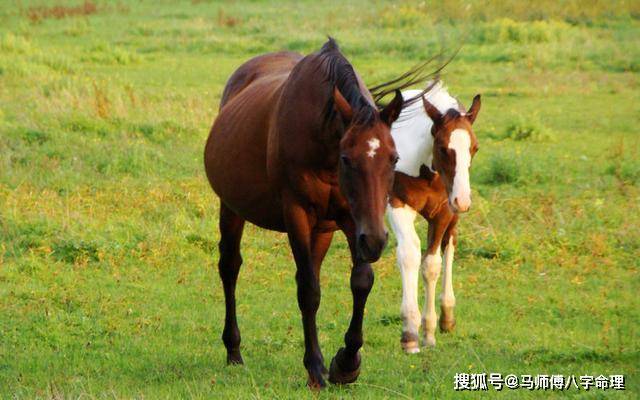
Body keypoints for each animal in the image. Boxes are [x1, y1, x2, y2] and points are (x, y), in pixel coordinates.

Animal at [205, 38, 402, 388]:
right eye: (347, 158)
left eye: (393, 159)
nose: (377, 241)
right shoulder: (296, 213)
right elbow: (309, 291)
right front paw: (316, 367)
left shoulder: (352, 219)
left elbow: (361, 281)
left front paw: (346, 363)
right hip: (231, 208)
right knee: (230, 267)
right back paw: (234, 351)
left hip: (323, 229)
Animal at [384, 82, 480, 354]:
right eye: (443, 148)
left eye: (474, 148)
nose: (463, 200)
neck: (424, 169)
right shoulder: (397, 203)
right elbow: (409, 254)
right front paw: (409, 334)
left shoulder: (443, 212)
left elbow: (431, 264)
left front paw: (428, 332)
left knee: (450, 244)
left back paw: (447, 314)